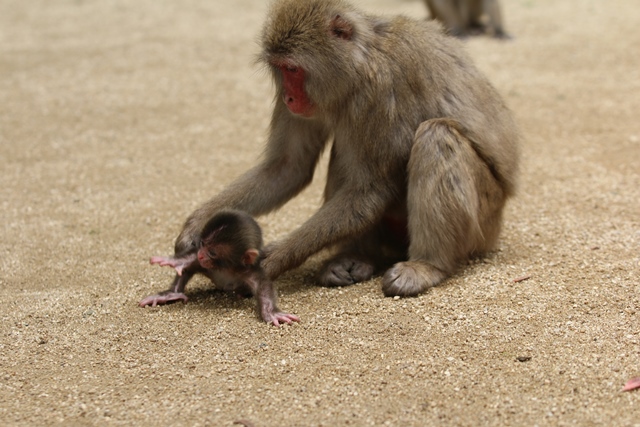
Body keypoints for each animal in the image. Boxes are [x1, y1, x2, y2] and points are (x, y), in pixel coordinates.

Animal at [139, 211, 298, 328]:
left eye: (212, 252)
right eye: (202, 244)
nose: (201, 254)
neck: (225, 268)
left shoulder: (248, 270)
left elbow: (263, 286)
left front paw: (271, 313)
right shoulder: (202, 262)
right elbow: (189, 259)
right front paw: (174, 261)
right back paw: (171, 294)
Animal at [172, 0, 516, 300]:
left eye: (293, 69)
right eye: (280, 69)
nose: (288, 98)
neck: (359, 63)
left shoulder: (379, 91)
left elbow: (370, 191)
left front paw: (266, 263)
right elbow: (287, 167)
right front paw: (194, 226)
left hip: (485, 220)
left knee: (436, 135)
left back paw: (426, 266)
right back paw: (356, 256)